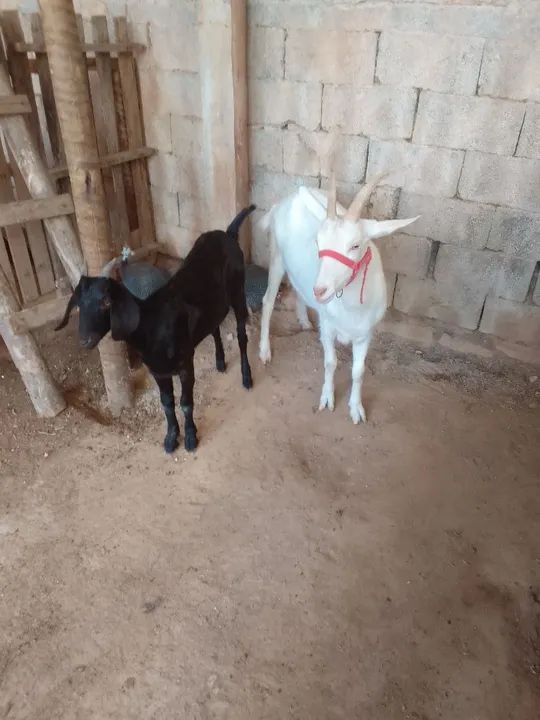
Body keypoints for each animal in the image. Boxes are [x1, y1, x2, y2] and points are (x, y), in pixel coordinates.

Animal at [56, 206, 256, 452]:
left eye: (106, 302)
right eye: (78, 304)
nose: (84, 339)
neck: (151, 326)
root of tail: (228, 233)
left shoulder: (185, 364)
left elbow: (185, 403)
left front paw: (191, 438)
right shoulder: (158, 371)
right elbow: (167, 404)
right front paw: (171, 438)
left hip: (238, 290)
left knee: (241, 335)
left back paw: (246, 377)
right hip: (213, 304)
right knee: (214, 327)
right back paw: (220, 361)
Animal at [258, 173, 419, 423]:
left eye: (355, 245)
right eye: (318, 242)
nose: (320, 290)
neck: (351, 309)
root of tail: (283, 202)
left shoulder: (365, 334)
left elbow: (358, 371)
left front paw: (356, 409)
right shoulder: (328, 327)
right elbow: (330, 362)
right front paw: (327, 399)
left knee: (298, 288)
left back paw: (304, 320)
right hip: (276, 257)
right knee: (267, 301)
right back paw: (264, 351)